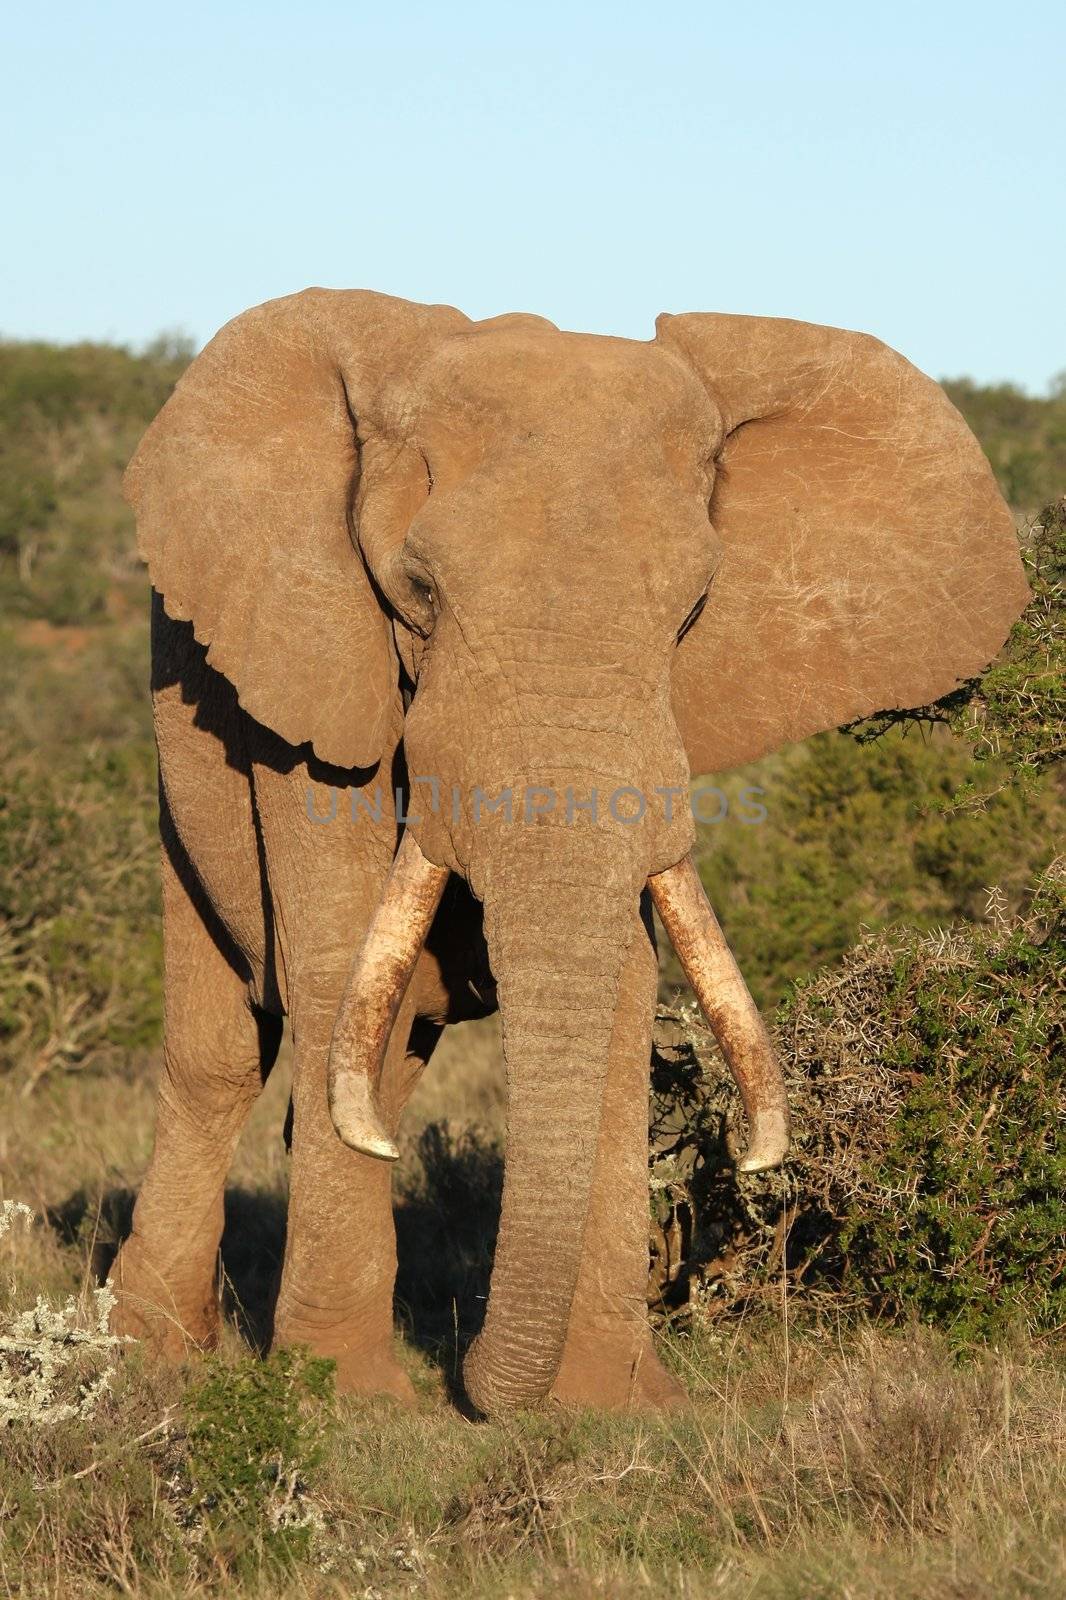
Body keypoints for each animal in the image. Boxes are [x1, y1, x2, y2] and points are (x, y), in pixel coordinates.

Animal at [105, 288, 1024, 1414]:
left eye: (692, 609)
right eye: (418, 590)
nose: (467, 1378)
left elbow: (622, 980)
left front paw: (613, 1405)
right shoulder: (311, 668)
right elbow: (331, 961)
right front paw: (346, 1397)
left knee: (380, 1062)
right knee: (223, 1054)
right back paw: (148, 1350)